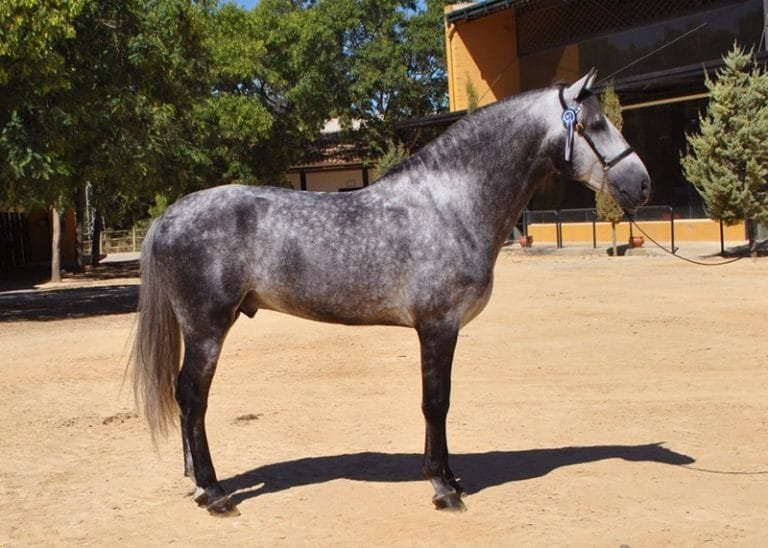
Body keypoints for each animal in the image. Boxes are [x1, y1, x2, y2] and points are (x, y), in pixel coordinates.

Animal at [130, 70, 650, 516]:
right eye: (594, 124)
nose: (642, 184)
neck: (451, 205)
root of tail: (171, 214)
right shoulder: (438, 327)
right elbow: (435, 403)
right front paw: (443, 488)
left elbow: (440, 403)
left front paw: (451, 479)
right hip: (207, 328)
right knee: (192, 397)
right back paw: (215, 493)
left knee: (186, 399)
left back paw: (199, 484)